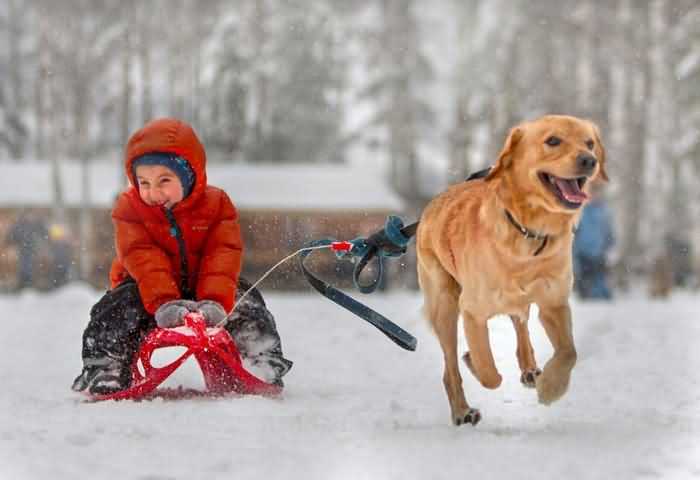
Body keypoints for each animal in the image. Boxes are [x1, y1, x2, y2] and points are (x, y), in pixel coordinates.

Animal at [416, 115, 608, 424]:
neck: (529, 232)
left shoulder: (554, 303)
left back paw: (531, 370)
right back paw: (462, 410)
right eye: (553, 140)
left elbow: (569, 352)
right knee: (450, 369)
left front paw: (551, 387)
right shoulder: (472, 310)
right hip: (444, 305)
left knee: (522, 326)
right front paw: (474, 362)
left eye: (589, 143)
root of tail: (432, 204)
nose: (589, 160)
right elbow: (488, 371)